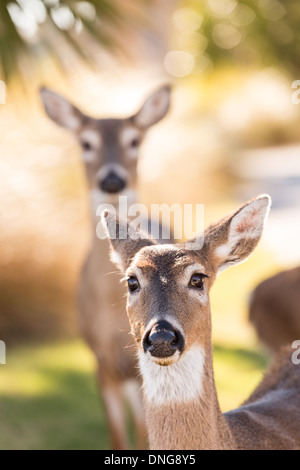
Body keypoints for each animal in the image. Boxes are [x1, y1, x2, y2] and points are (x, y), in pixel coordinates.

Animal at [40, 84, 171, 448]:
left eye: (134, 140)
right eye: (86, 143)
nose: (112, 180)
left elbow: (145, 434)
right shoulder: (100, 362)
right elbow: (116, 433)